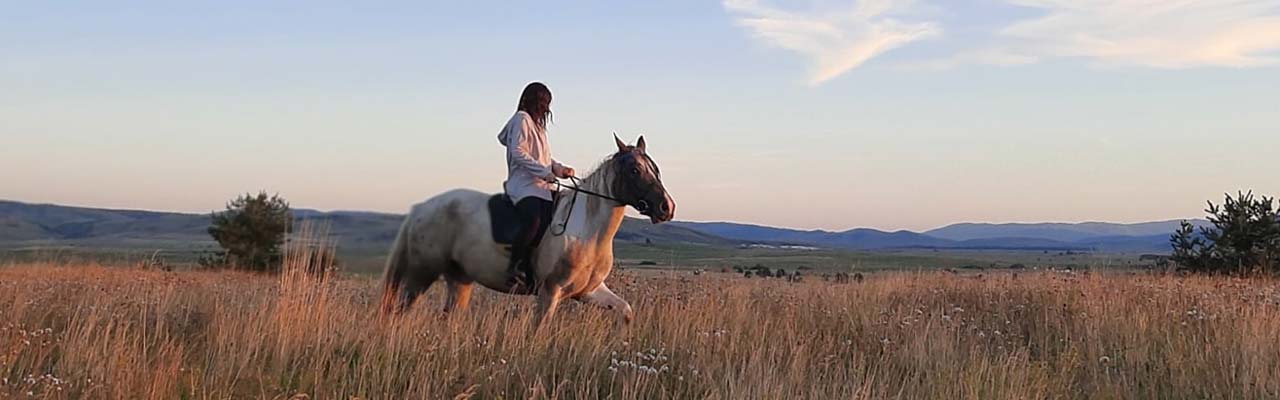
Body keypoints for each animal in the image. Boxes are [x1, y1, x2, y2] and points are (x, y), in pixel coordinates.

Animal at [378, 134, 680, 325]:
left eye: (655, 169)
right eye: (634, 170)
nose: (666, 207)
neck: (588, 232)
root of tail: (420, 208)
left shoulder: (589, 291)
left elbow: (626, 311)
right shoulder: (550, 291)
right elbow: (539, 331)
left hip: (459, 279)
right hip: (421, 274)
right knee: (400, 311)